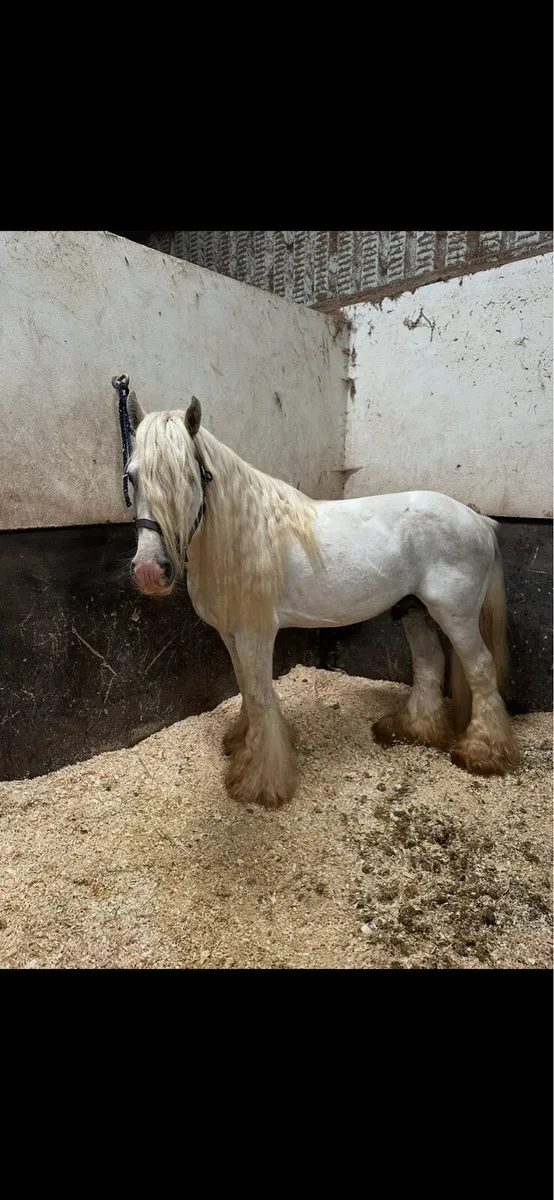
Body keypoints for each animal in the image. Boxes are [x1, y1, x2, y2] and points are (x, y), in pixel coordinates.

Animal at [125, 392, 520, 809]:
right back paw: (413, 731)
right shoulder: (230, 634)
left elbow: (260, 694)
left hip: (456, 615)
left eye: (189, 477)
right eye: (131, 476)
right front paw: (242, 745)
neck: (243, 536)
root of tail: (479, 521)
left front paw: (261, 780)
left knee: (479, 669)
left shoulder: (255, 633)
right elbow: (247, 688)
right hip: (415, 611)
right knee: (430, 664)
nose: (149, 571)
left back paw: (484, 753)